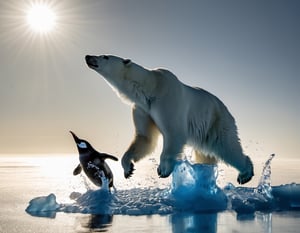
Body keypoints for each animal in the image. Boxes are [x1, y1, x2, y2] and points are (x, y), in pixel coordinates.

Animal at [85, 54, 254, 184]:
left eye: (105, 56)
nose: (88, 56)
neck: (149, 87)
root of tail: (226, 108)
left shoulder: (167, 99)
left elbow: (173, 132)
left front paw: (163, 169)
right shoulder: (142, 109)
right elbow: (144, 137)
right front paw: (128, 169)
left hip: (216, 122)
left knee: (227, 146)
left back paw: (245, 174)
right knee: (206, 154)